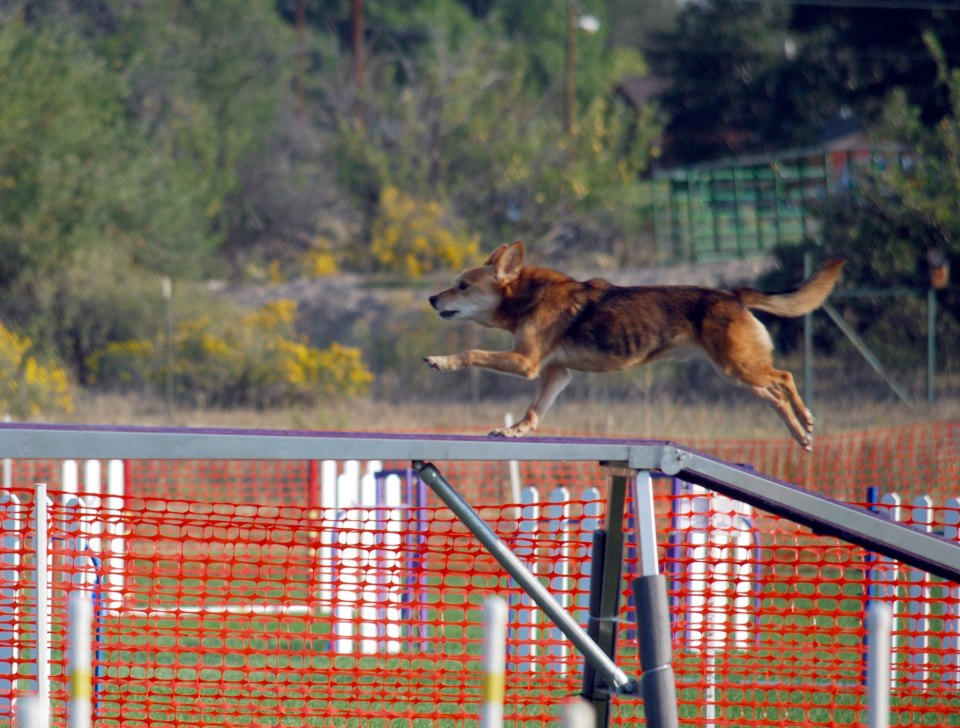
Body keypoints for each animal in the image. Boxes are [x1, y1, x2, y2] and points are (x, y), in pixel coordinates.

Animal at [424, 243, 844, 450]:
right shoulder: (556, 374)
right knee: (774, 394)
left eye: (463, 285)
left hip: (739, 365)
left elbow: (472, 354)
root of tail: (733, 294)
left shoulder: (526, 362)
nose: (430, 298)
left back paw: (806, 421)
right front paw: (515, 432)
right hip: (737, 372)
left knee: (785, 377)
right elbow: (534, 411)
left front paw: (441, 361)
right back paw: (800, 434)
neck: (526, 296)